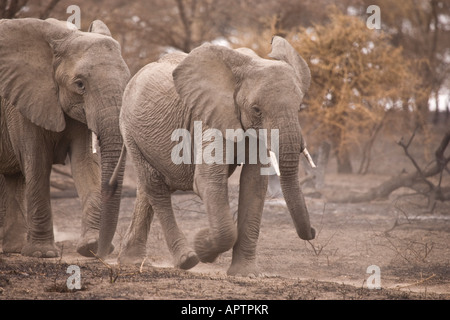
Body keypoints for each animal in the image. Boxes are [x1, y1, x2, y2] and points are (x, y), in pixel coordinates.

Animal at [0, 16, 130, 258]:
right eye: (80, 84)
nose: (103, 252)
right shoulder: (21, 103)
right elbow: (38, 164)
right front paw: (41, 254)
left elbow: (84, 163)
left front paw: (89, 246)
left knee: (14, 179)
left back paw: (14, 249)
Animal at [115, 35, 316, 276]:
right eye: (256, 109)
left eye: (298, 106)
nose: (313, 231)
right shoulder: (207, 115)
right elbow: (207, 180)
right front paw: (202, 244)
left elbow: (254, 183)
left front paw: (246, 274)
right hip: (129, 129)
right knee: (155, 186)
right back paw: (187, 259)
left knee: (147, 190)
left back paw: (132, 261)